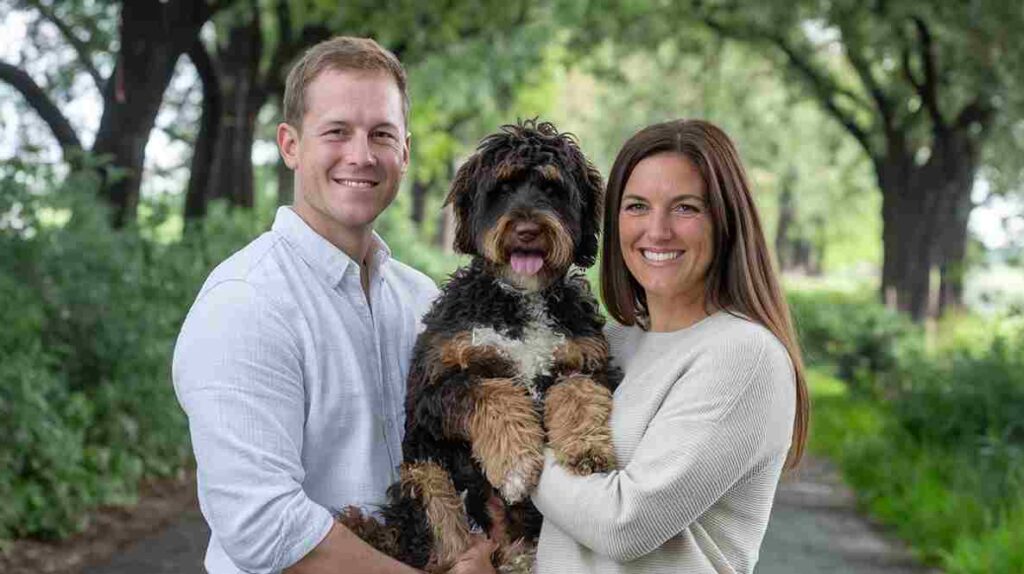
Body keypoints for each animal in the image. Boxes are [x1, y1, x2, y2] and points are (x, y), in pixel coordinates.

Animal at [339, 118, 618, 568]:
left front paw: (585, 448)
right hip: (425, 473)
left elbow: (577, 390)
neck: (520, 299)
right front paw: (516, 461)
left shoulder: (588, 361)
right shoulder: (435, 387)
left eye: (553, 189)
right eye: (501, 189)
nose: (527, 229)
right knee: (439, 543)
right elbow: (493, 393)